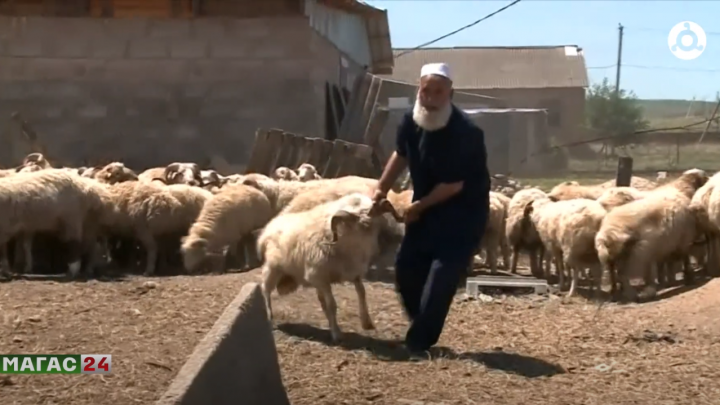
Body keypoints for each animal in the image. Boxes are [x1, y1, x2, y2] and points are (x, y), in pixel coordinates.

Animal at [258, 193, 402, 340]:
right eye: (357, 214)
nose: (367, 221)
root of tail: (268, 228)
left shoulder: (353, 273)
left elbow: (362, 293)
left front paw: (366, 322)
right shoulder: (321, 279)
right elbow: (332, 305)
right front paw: (337, 333)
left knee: (321, 300)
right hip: (273, 269)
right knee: (265, 290)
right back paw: (269, 316)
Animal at [592, 167, 704, 300]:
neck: (681, 189)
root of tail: (606, 235)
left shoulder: (667, 242)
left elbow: (666, 263)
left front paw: (666, 281)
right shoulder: (683, 239)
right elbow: (684, 260)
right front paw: (688, 278)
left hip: (615, 257)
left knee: (613, 273)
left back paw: (615, 293)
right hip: (635, 255)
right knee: (622, 274)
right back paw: (633, 294)